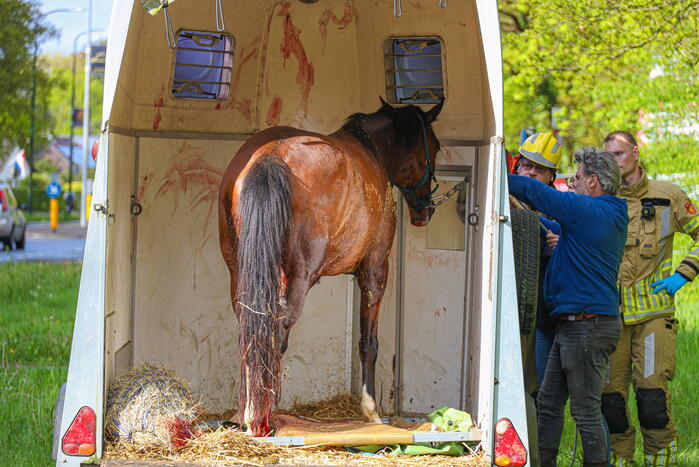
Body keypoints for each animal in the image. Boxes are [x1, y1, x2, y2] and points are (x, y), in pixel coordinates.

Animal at [218, 98, 443, 436]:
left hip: (241, 272)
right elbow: (368, 343)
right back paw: (263, 415)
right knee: (278, 331)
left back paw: (244, 412)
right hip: (299, 277)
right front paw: (371, 412)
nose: (425, 211)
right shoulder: (375, 273)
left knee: (252, 330)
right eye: (436, 147)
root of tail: (271, 156)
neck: (372, 151)